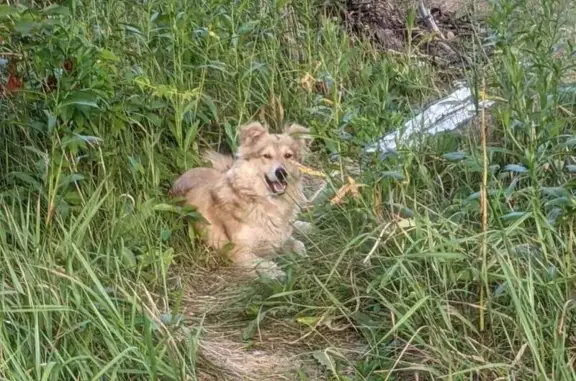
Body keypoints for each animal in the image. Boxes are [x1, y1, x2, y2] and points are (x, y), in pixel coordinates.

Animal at [169, 121, 312, 280]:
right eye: (266, 156)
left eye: (288, 155)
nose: (281, 173)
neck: (262, 201)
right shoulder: (237, 251)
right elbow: (263, 262)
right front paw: (276, 273)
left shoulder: (278, 237)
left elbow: (297, 244)